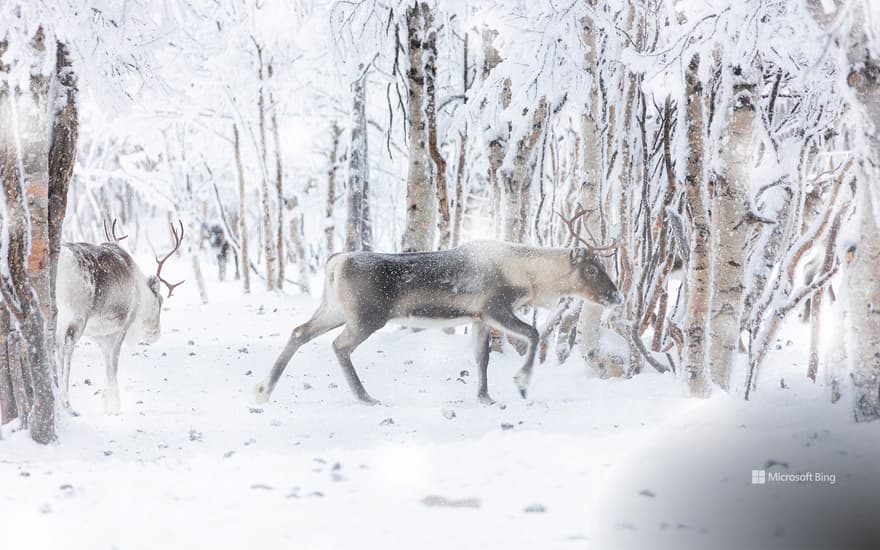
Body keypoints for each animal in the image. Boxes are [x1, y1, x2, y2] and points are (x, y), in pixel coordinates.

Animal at [55, 220, 184, 414]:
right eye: (160, 301)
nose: (155, 334)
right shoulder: (121, 327)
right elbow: (113, 366)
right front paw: (115, 406)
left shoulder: (100, 335)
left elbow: (107, 364)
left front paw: (106, 403)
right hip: (75, 316)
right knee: (67, 346)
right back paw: (66, 403)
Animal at [254, 239, 623, 406]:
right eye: (592, 270)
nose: (616, 296)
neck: (531, 278)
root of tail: (335, 262)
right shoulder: (495, 307)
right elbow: (532, 333)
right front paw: (520, 383)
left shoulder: (478, 317)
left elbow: (481, 358)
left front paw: (485, 397)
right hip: (366, 317)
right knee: (339, 345)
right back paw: (365, 396)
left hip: (334, 310)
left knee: (300, 332)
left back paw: (264, 390)